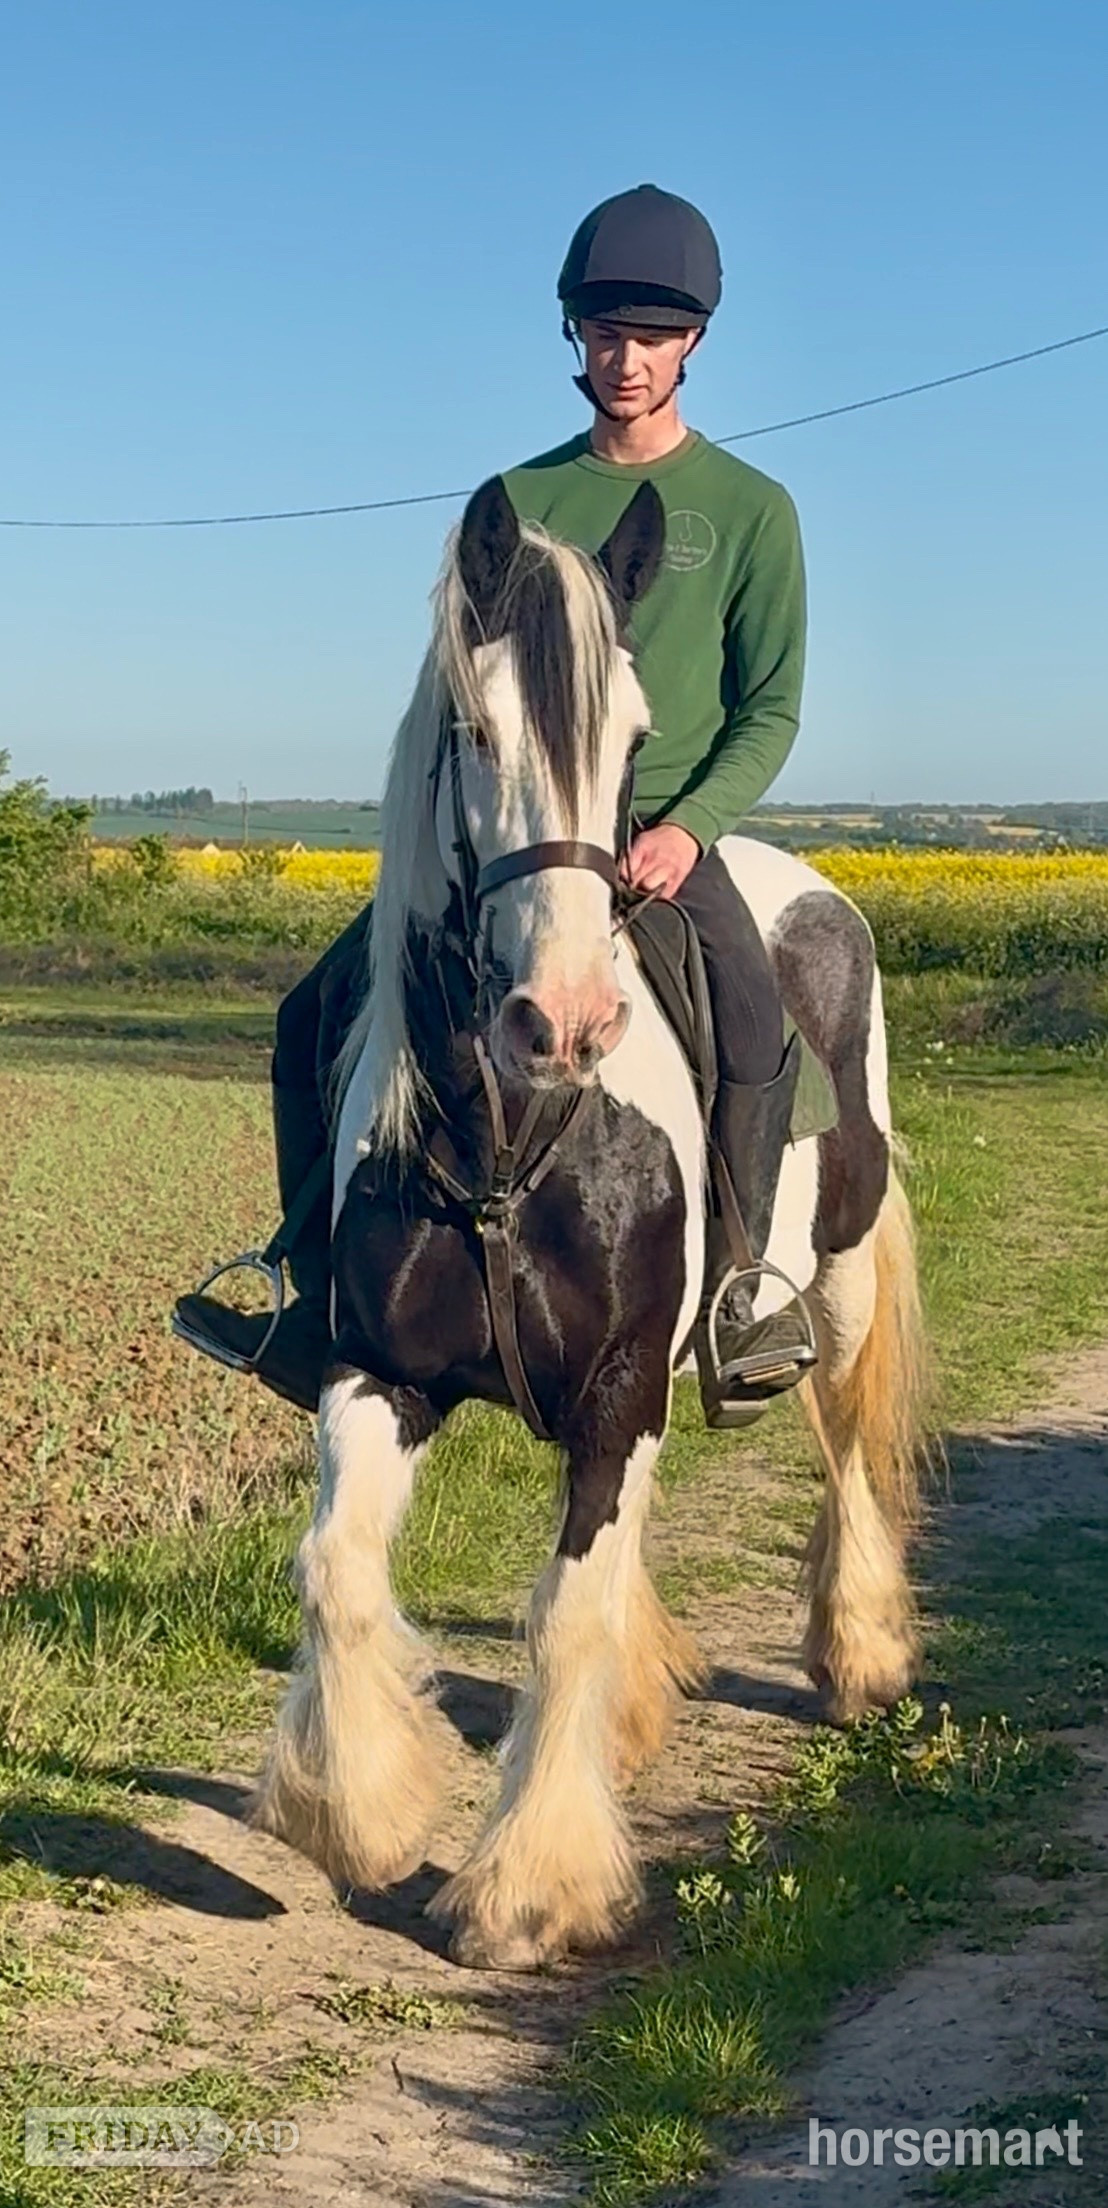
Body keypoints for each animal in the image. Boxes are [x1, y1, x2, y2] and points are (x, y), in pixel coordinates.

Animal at [249, 475, 928, 1971]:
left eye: (630, 741)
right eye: (474, 728)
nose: (562, 1022)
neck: (514, 1138)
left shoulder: (620, 1389)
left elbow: (562, 1617)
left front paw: (529, 1889)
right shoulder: (378, 1374)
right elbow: (337, 1570)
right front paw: (361, 1815)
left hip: (838, 1283)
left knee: (845, 1446)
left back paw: (857, 1655)